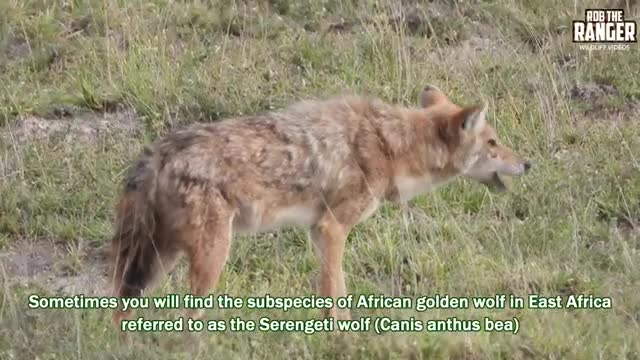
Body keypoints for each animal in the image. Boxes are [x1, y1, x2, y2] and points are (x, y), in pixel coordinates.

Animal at [111, 86, 528, 324]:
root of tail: (158, 151)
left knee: (121, 309)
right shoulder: (332, 228)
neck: (390, 144)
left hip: (156, 261)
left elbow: (333, 290)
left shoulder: (318, 230)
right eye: (493, 142)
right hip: (209, 256)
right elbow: (335, 292)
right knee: (185, 317)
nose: (528, 164)